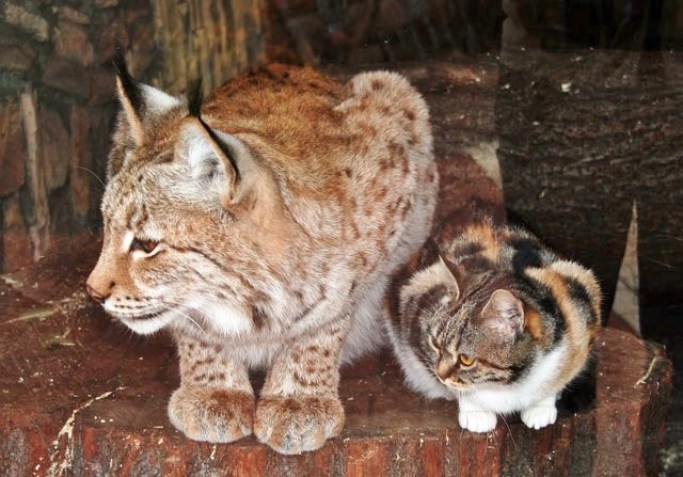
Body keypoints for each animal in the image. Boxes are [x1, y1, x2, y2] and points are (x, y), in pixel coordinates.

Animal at [87, 53, 438, 454]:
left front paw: (297, 400)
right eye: (106, 227)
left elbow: (327, 317)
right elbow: (195, 327)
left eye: (146, 245)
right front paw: (215, 392)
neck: (252, 302)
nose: (93, 292)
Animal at [388, 216, 600, 432]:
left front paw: (541, 408)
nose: (440, 376)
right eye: (435, 345)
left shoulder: (580, 302)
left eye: (466, 359)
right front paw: (476, 414)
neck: (510, 383)